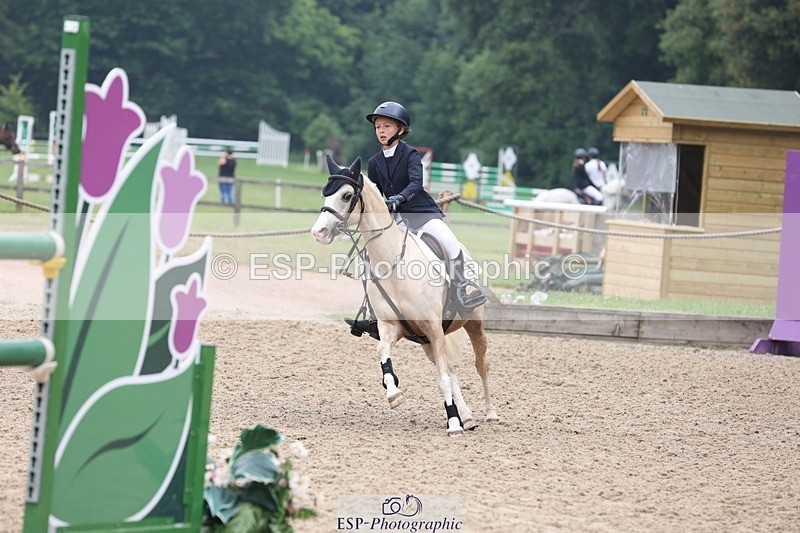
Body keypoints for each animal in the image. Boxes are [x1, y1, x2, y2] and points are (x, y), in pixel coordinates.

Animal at [311, 155, 498, 436]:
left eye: (346, 196)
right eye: (324, 194)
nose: (318, 232)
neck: (393, 264)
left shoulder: (433, 328)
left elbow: (443, 379)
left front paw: (453, 424)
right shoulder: (393, 327)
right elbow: (383, 352)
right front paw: (394, 393)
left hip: (473, 323)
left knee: (481, 364)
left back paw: (489, 413)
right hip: (427, 342)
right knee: (450, 368)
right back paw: (467, 417)